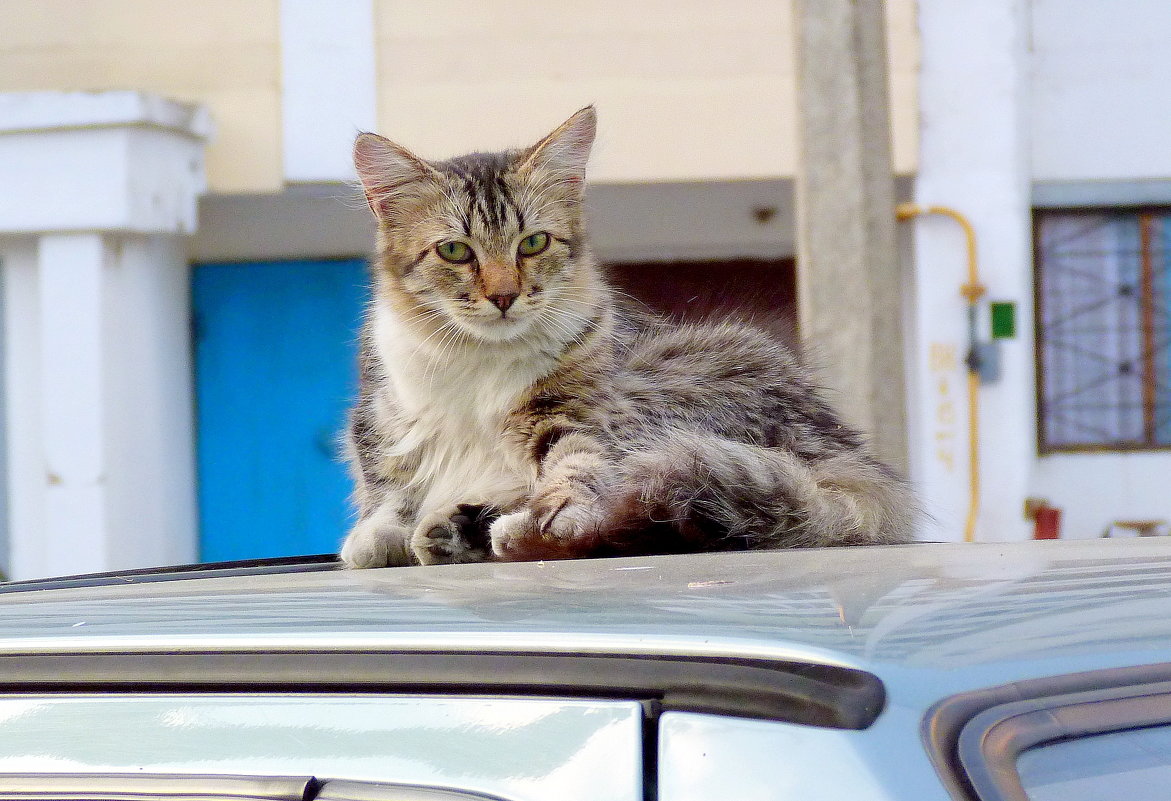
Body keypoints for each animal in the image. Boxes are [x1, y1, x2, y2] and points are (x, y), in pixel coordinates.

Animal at [339, 107, 913, 569]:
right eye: (455, 251)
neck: (479, 363)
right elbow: (387, 492)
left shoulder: (575, 412)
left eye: (533, 243)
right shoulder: (380, 418)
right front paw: (378, 536)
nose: (504, 296)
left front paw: (551, 524)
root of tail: (845, 450)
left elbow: (575, 472)